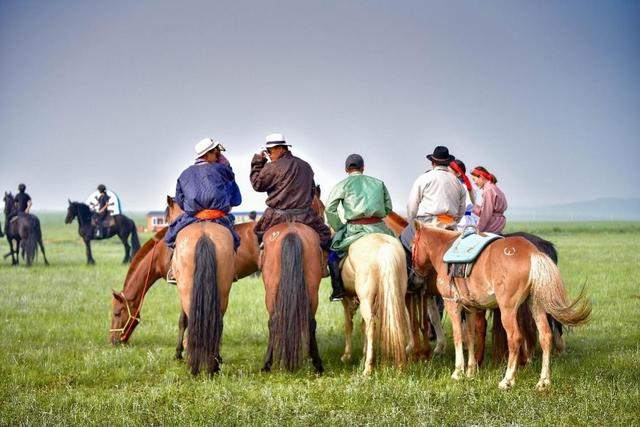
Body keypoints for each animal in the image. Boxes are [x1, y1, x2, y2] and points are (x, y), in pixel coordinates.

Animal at [258, 224, 322, 374]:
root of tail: (291, 232)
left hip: (270, 293)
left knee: (273, 322)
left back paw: (266, 364)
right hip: (312, 290)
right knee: (310, 322)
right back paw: (317, 364)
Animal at [340, 232, 410, 376]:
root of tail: (384, 246)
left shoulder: (346, 300)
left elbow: (348, 325)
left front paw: (347, 355)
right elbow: (362, 326)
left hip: (366, 299)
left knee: (371, 326)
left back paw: (368, 369)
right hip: (396, 295)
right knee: (399, 323)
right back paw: (400, 365)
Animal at [410, 224, 592, 392]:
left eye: (412, 245)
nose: (414, 275)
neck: (444, 251)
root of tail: (532, 253)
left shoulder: (452, 304)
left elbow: (458, 336)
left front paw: (458, 372)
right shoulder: (470, 308)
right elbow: (470, 337)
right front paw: (471, 372)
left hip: (508, 309)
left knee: (515, 338)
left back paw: (507, 380)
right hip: (536, 305)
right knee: (545, 336)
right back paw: (543, 381)